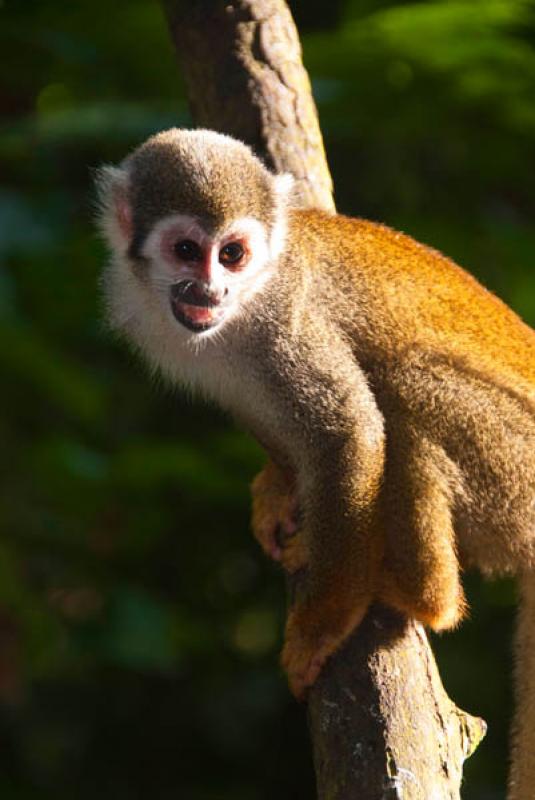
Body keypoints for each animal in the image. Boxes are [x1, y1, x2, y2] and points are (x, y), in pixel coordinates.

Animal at [98, 128, 535, 796]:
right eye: (186, 251)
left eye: (232, 255)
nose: (210, 291)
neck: (246, 308)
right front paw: (279, 484)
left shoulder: (288, 326)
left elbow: (350, 429)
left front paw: (320, 625)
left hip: (517, 466)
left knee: (406, 382)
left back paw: (418, 592)